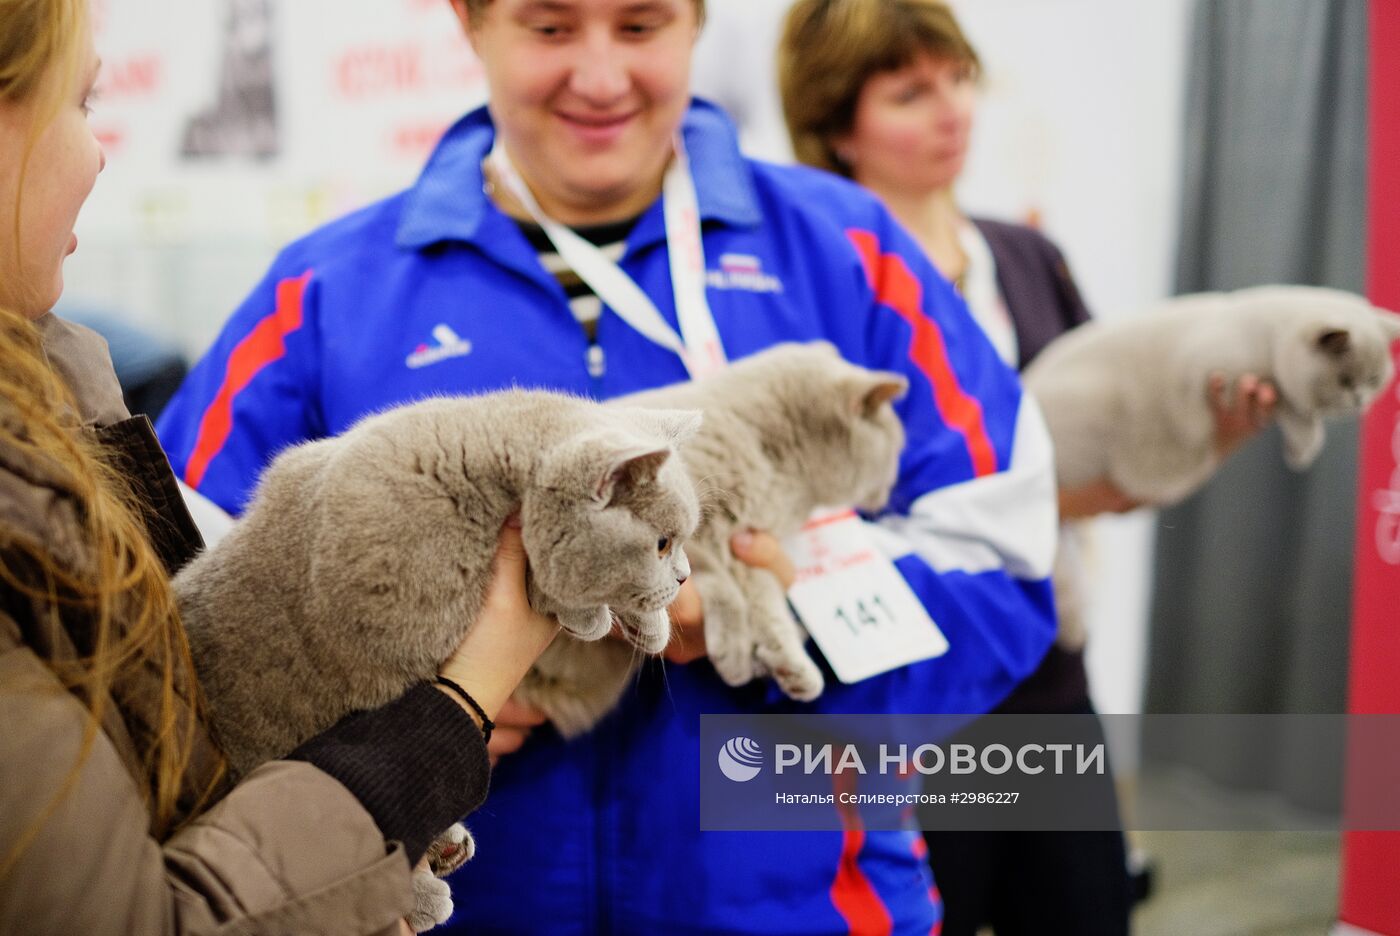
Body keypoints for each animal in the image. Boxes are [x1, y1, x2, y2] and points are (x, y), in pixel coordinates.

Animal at [515, 339, 907, 733]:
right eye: (896, 450)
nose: (889, 495)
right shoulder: (685, 532)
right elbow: (722, 588)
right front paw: (734, 654)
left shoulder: (747, 549)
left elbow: (767, 608)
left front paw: (789, 666)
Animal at [1019, 282, 1400, 503]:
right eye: (1346, 381)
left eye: (1374, 380)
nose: (1360, 401)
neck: (1268, 343)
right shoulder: (1211, 372)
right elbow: (1283, 402)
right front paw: (1304, 446)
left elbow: (1292, 406)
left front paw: (1301, 447)